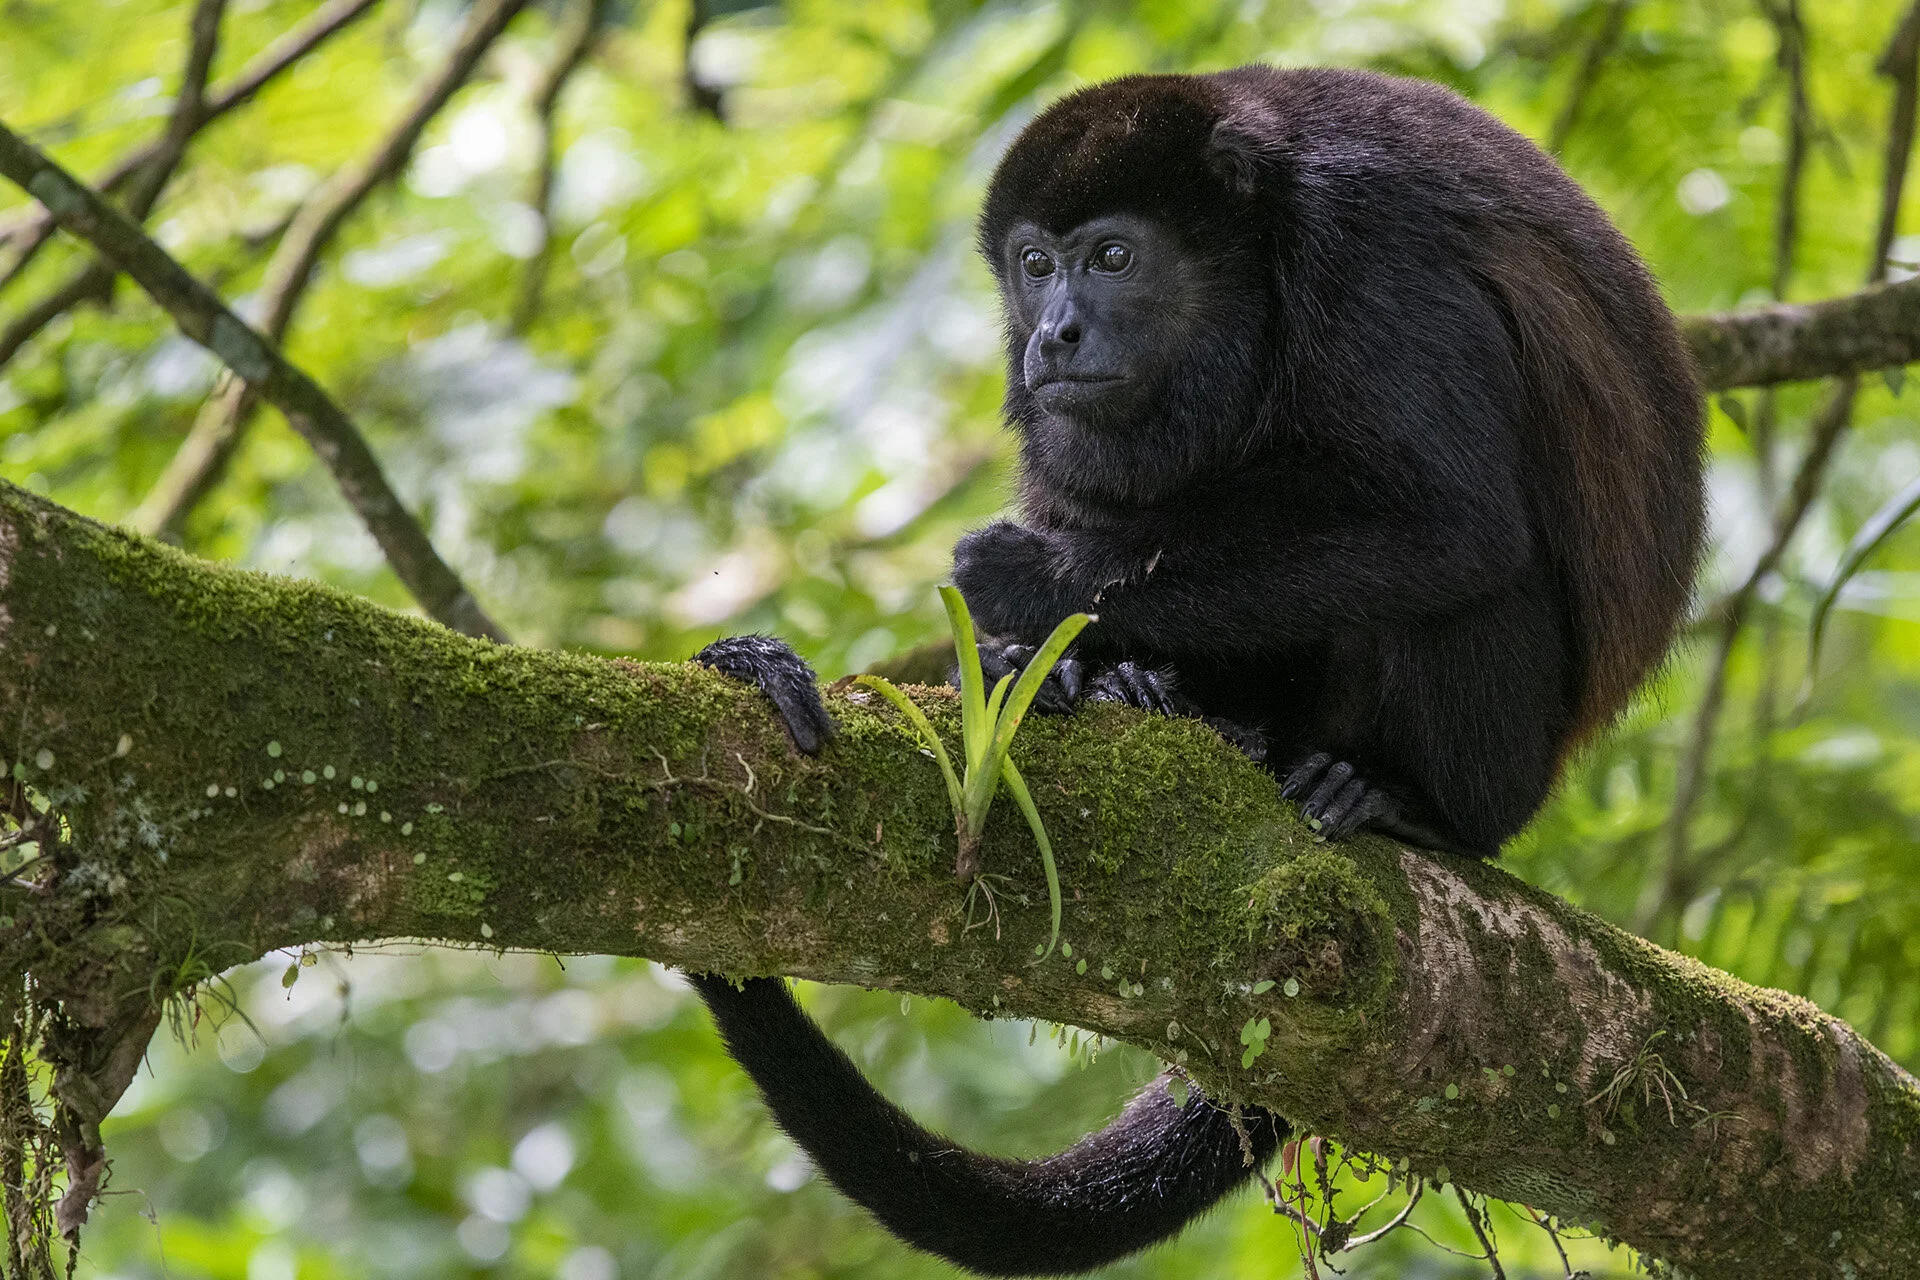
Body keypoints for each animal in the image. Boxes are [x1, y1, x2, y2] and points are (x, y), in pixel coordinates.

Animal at [690, 64, 1704, 1276]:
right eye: (1036, 264)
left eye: (1114, 256)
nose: (1054, 333)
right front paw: (1043, 661)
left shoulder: (1375, 246)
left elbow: (1447, 518)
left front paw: (1032, 578)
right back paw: (1154, 698)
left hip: (1503, 760)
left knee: (1472, 578)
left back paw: (1401, 800)